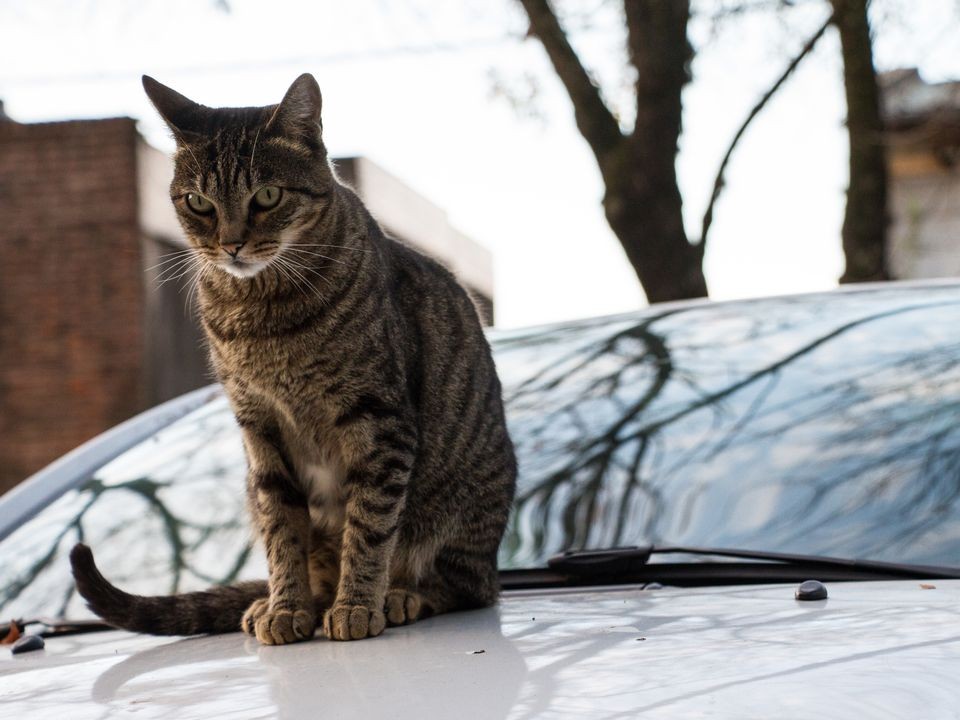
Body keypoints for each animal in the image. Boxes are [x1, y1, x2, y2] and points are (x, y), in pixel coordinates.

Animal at [69, 73, 516, 644]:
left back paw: (399, 596)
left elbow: (369, 526)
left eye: (267, 195)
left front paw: (356, 605)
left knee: (465, 586)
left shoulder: (378, 419)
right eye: (198, 202)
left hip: (461, 511)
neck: (262, 317)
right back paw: (280, 601)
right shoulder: (259, 428)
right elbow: (282, 528)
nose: (231, 244)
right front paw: (285, 607)